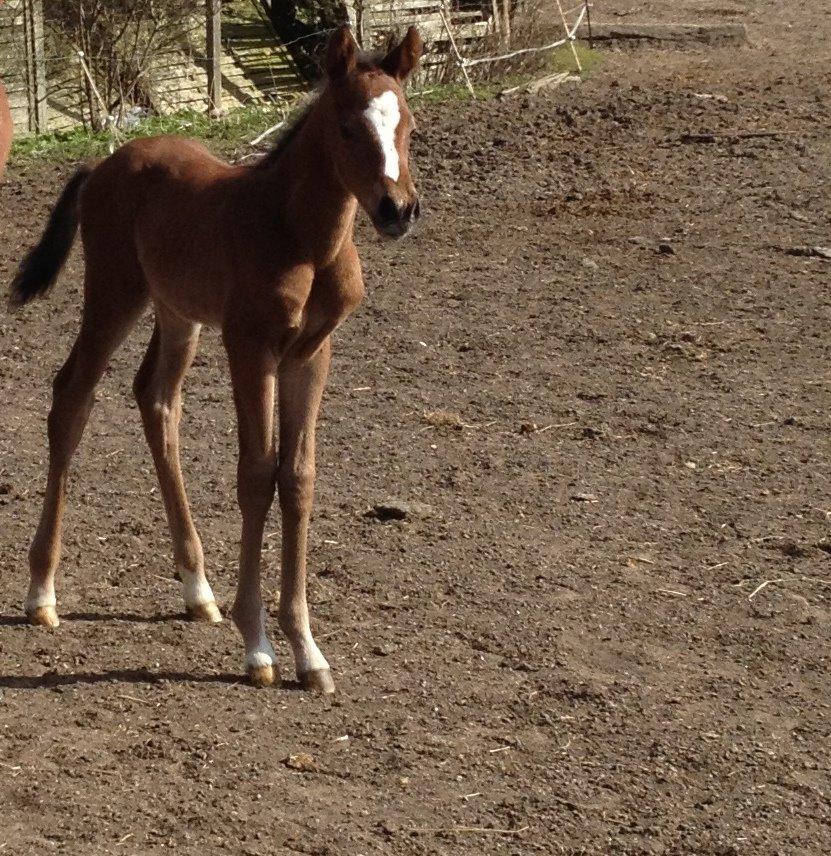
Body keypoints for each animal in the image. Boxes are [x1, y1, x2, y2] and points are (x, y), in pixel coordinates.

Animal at [6, 26, 422, 692]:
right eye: (347, 127)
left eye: (406, 123)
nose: (397, 210)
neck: (301, 237)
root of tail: (105, 164)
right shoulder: (251, 348)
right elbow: (256, 475)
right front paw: (258, 647)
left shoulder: (311, 354)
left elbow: (297, 478)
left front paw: (309, 652)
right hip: (115, 294)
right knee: (71, 395)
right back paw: (41, 592)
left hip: (179, 315)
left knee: (155, 399)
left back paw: (198, 589)